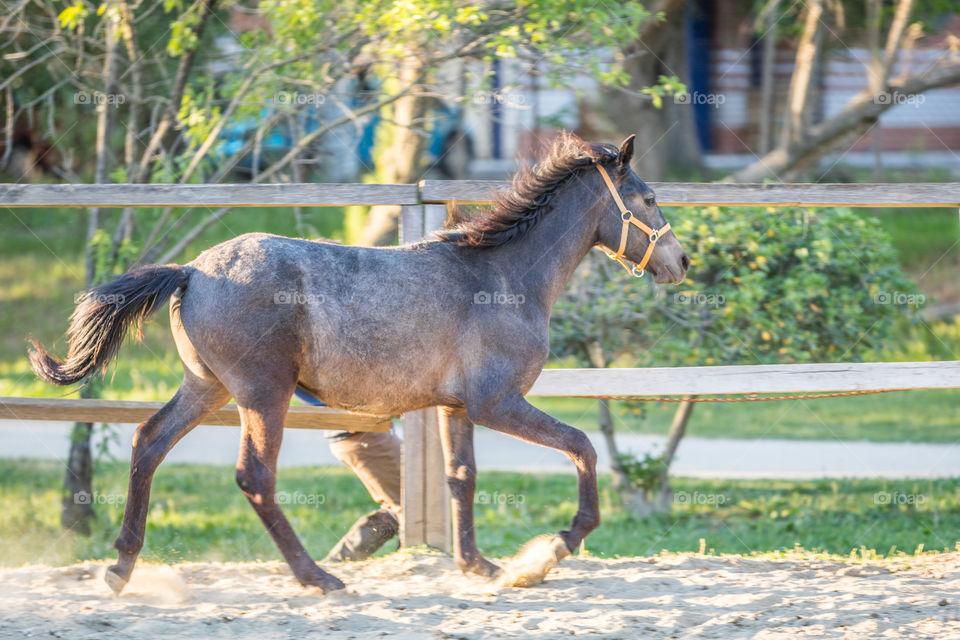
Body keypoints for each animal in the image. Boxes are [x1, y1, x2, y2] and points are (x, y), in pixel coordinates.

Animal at [30, 132, 688, 596]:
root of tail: (191, 270)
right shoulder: (497, 402)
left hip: (207, 388)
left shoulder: (456, 407)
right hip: (262, 394)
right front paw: (553, 548)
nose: (681, 262)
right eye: (650, 199)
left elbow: (462, 477)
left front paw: (480, 565)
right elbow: (582, 445)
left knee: (148, 441)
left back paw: (119, 568)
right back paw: (318, 578)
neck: (503, 277)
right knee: (254, 477)